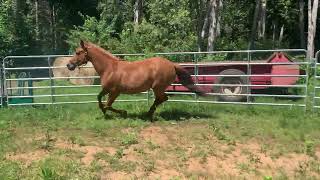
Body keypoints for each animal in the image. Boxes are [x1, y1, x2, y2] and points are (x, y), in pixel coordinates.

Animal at [67, 41, 205, 119]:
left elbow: (108, 104)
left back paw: (148, 114)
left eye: (78, 52)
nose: (69, 65)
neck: (109, 68)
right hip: (158, 88)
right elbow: (100, 99)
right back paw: (148, 113)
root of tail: (172, 64)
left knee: (162, 98)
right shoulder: (107, 89)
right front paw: (105, 112)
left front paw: (123, 112)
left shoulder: (115, 91)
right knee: (161, 99)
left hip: (157, 87)